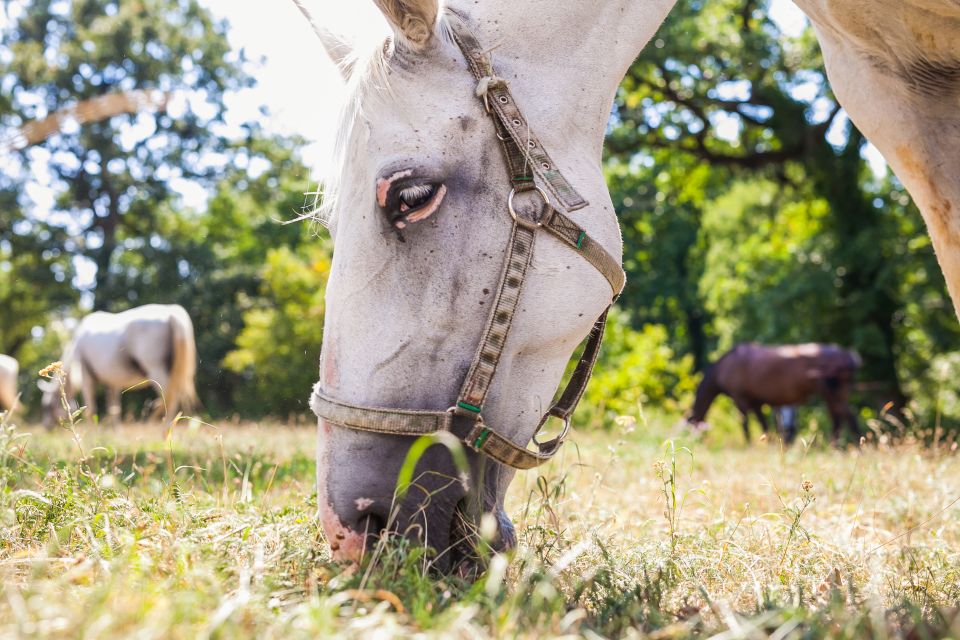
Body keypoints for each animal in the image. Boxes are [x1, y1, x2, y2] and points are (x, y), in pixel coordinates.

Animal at [40, 304, 197, 428]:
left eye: (47, 406)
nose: (46, 427)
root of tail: (171, 313)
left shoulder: (86, 374)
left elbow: (91, 408)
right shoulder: (112, 382)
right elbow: (114, 408)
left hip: (157, 370)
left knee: (169, 398)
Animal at [688, 342, 864, 442]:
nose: (697, 441)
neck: (722, 368)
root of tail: (848, 356)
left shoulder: (740, 398)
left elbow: (745, 423)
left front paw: (748, 443)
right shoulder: (756, 401)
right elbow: (763, 424)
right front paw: (769, 442)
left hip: (831, 392)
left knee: (846, 417)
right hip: (835, 393)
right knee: (839, 418)